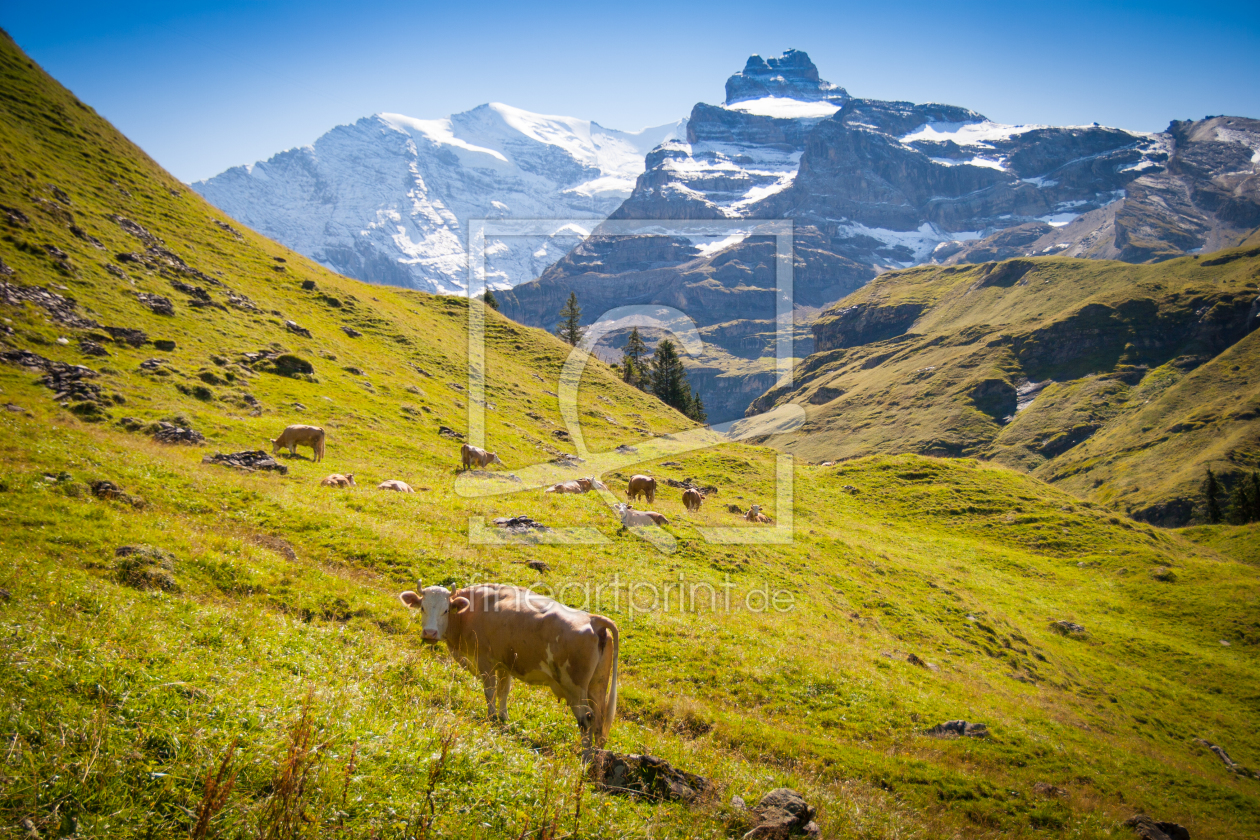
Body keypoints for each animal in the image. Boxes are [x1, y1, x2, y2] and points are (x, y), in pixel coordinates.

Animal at [398, 584, 619, 755]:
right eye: (422, 608)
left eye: (445, 610)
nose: (430, 633)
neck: (469, 613)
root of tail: (592, 619)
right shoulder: (505, 664)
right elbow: (504, 691)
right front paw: (503, 718)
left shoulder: (485, 661)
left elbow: (490, 691)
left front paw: (491, 717)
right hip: (597, 686)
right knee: (599, 721)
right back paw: (598, 754)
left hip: (574, 687)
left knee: (586, 718)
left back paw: (585, 754)